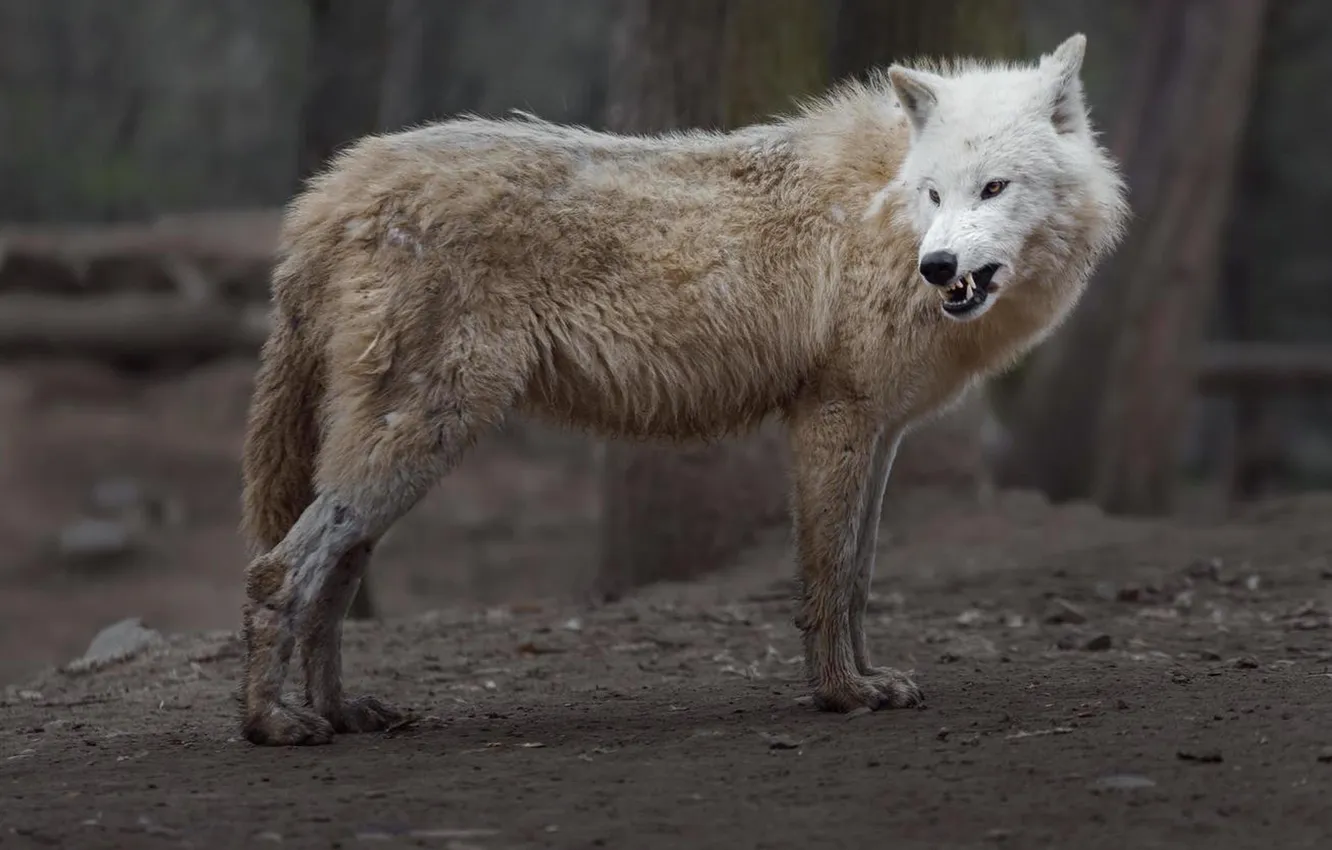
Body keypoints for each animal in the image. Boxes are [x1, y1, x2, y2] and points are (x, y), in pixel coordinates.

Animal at [237, 33, 1128, 745]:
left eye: (994, 188)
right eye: (934, 193)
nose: (938, 267)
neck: (882, 212)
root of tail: (326, 193)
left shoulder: (882, 433)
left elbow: (862, 575)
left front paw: (869, 680)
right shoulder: (832, 417)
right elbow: (830, 574)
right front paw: (841, 693)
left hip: (395, 453)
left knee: (333, 577)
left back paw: (342, 713)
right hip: (421, 439)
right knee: (277, 573)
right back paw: (273, 724)